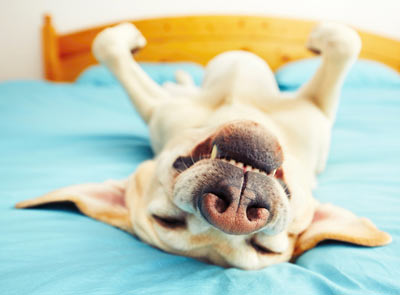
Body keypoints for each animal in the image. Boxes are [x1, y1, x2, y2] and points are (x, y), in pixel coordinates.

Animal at [16, 21, 390, 270]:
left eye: (265, 249)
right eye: (167, 221)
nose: (235, 210)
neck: (238, 108)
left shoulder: (317, 111)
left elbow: (347, 43)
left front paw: (320, 36)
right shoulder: (158, 109)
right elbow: (105, 45)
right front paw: (125, 38)